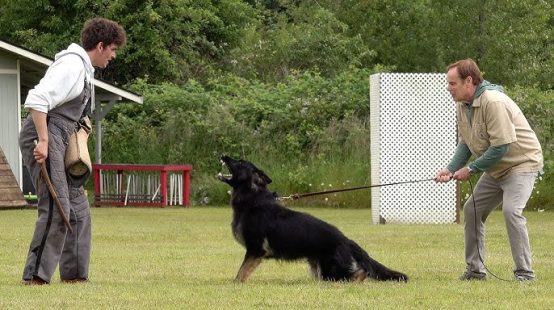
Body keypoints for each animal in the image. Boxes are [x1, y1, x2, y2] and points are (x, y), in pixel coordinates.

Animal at [218, 155, 408, 284]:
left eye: (240, 162)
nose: (223, 155)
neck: (253, 199)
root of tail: (346, 240)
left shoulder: (255, 250)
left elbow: (240, 274)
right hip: (319, 269)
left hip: (331, 272)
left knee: (359, 274)